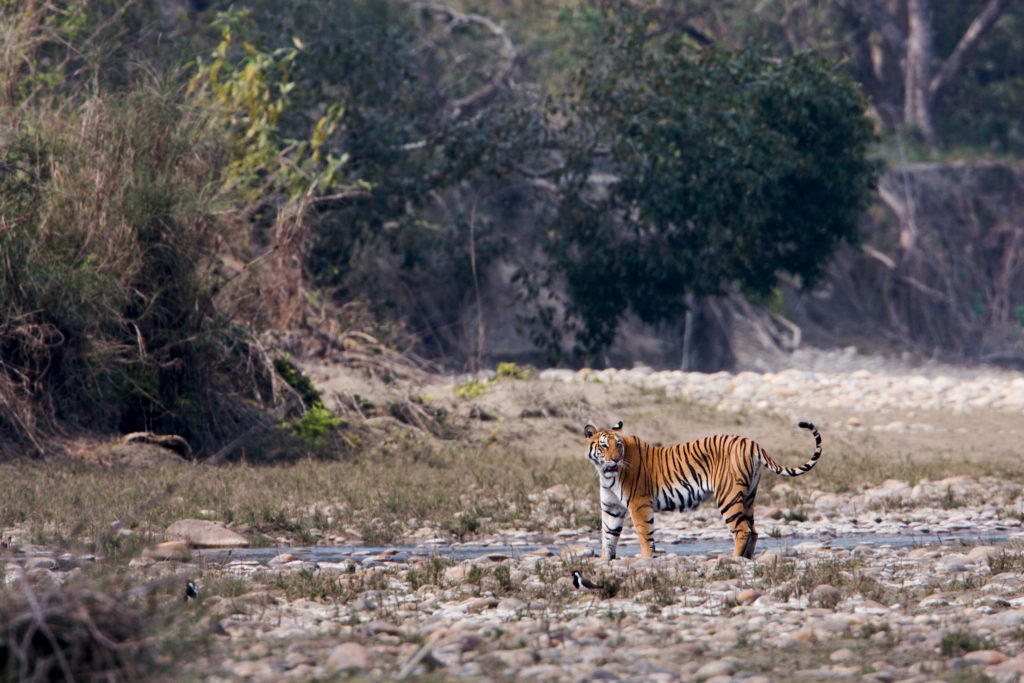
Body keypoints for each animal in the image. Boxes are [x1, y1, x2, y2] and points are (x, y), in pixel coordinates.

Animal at [585, 421, 823, 561]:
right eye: (604, 445)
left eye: (618, 444)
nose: (616, 459)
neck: (606, 474)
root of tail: (751, 442)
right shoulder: (611, 507)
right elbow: (608, 535)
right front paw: (605, 561)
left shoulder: (639, 503)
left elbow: (644, 534)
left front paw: (644, 560)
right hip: (748, 496)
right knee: (753, 530)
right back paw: (745, 559)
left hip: (728, 496)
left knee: (742, 530)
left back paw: (733, 560)